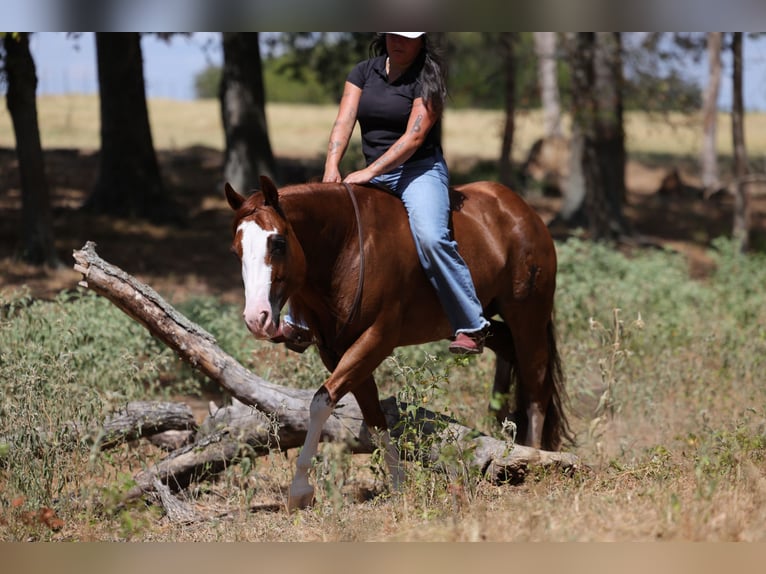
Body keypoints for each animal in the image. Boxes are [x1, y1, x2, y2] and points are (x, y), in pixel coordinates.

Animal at [225, 175, 571, 510]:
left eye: (278, 243)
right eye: (237, 250)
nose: (256, 317)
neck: (347, 247)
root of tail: (523, 211)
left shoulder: (377, 339)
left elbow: (321, 402)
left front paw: (299, 490)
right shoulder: (336, 351)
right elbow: (374, 419)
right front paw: (398, 484)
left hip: (528, 315)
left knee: (536, 384)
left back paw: (534, 454)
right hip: (491, 320)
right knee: (509, 353)